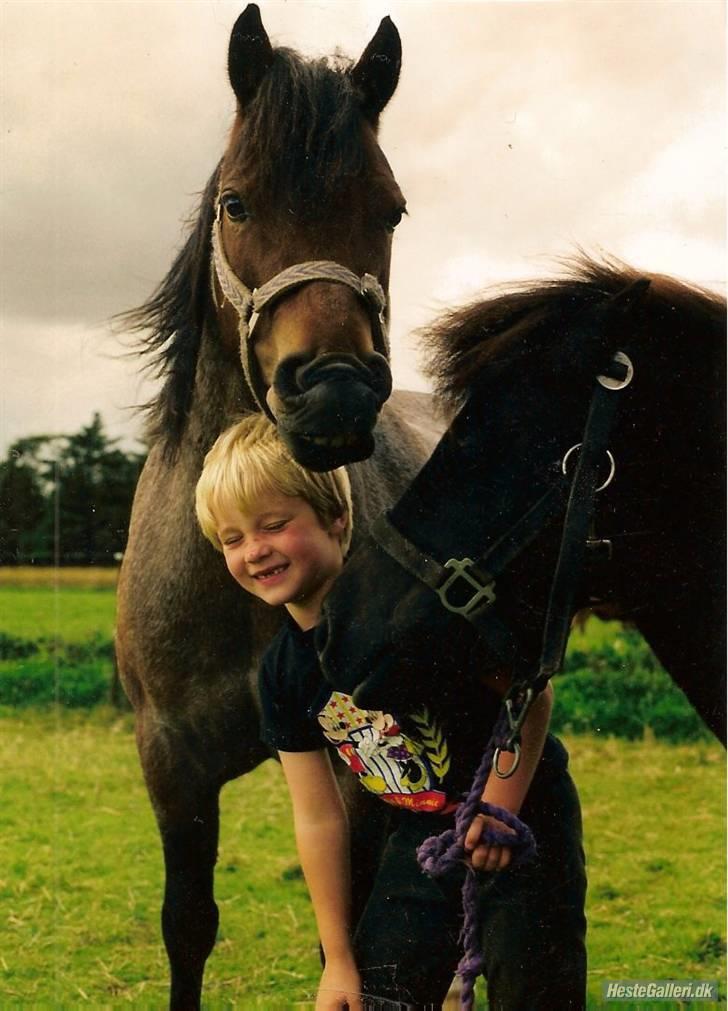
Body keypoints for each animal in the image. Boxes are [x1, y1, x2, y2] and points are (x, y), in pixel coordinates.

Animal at [113, 7, 438, 1011]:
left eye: (390, 209)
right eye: (237, 204)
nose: (332, 387)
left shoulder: (368, 768)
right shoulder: (172, 764)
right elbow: (188, 925)